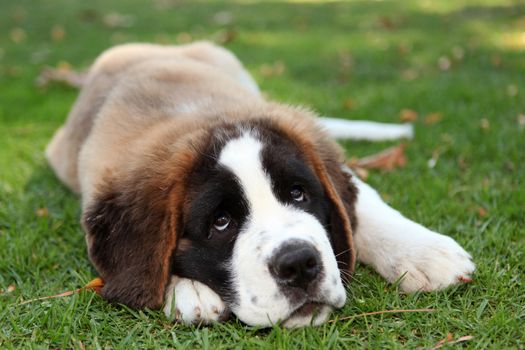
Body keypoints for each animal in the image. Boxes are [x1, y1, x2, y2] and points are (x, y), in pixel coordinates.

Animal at [47, 41, 474, 328]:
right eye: (221, 222)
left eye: (298, 194)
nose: (299, 264)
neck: (200, 116)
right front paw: (186, 290)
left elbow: (365, 207)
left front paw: (424, 253)